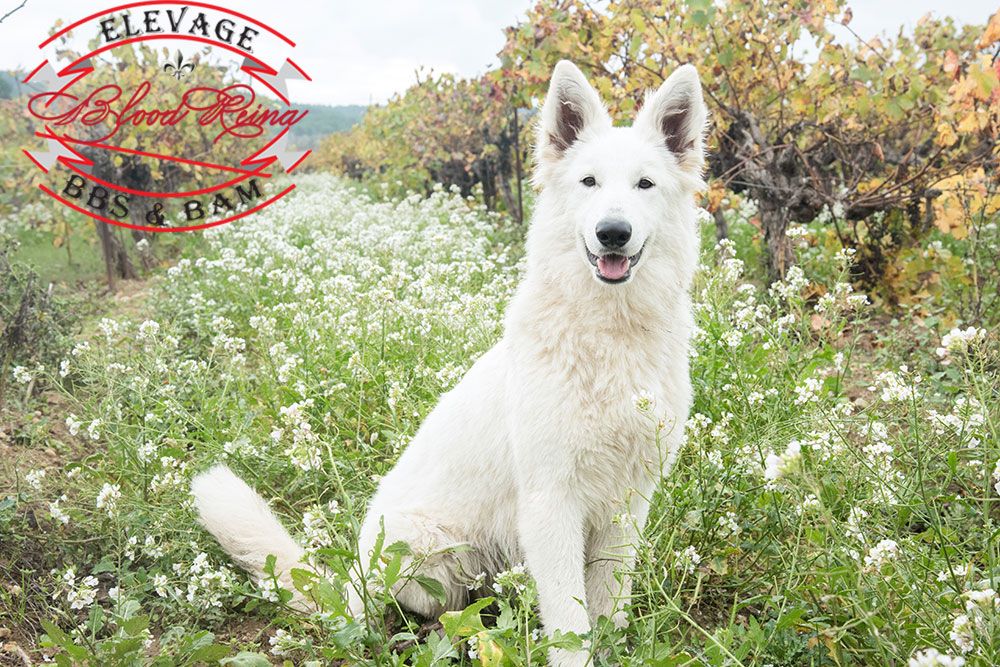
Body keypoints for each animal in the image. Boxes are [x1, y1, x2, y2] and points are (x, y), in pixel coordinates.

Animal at [191, 60, 707, 666]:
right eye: (589, 182)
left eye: (645, 185)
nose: (613, 233)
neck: (610, 335)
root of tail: (347, 583)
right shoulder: (551, 502)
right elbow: (569, 619)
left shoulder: (628, 502)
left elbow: (608, 605)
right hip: (424, 546)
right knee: (403, 610)